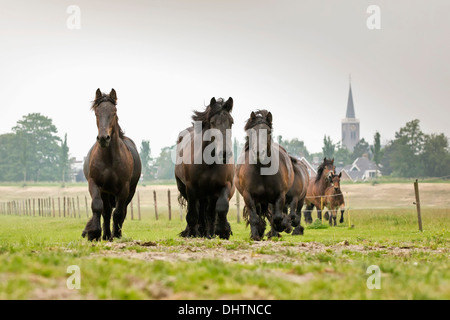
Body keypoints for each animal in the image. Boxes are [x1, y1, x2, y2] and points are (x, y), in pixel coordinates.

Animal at [81, 89, 142, 241]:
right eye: (97, 112)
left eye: (114, 112)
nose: (103, 138)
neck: (109, 159)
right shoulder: (95, 184)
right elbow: (98, 207)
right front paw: (95, 233)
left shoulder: (124, 188)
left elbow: (119, 213)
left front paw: (116, 234)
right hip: (106, 192)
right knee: (107, 211)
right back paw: (106, 234)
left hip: (130, 191)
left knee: (122, 211)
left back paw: (115, 234)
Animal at [175, 96, 236, 239]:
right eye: (212, 123)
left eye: (231, 122)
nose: (224, 153)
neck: (209, 164)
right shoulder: (191, 188)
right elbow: (192, 214)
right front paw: (192, 233)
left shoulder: (224, 186)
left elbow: (221, 208)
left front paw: (221, 231)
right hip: (184, 188)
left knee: (209, 213)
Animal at [234, 110, 294, 240]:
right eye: (252, 132)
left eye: (268, 131)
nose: (258, 153)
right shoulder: (248, 196)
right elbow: (254, 218)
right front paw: (255, 236)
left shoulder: (279, 195)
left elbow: (277, 217)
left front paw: (283, 226)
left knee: (272, 215)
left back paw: (275, 233)